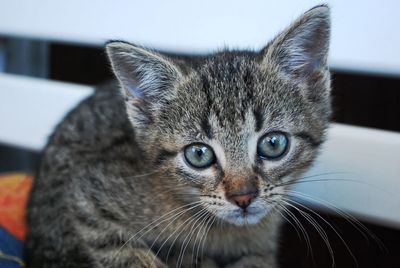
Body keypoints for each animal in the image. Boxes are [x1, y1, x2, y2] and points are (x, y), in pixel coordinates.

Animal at [25, 4, 332, 268]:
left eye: (273, 143)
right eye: (198, 154)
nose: (243, 197)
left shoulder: (261, 250)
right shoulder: (84, 202)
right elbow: (127, 255)